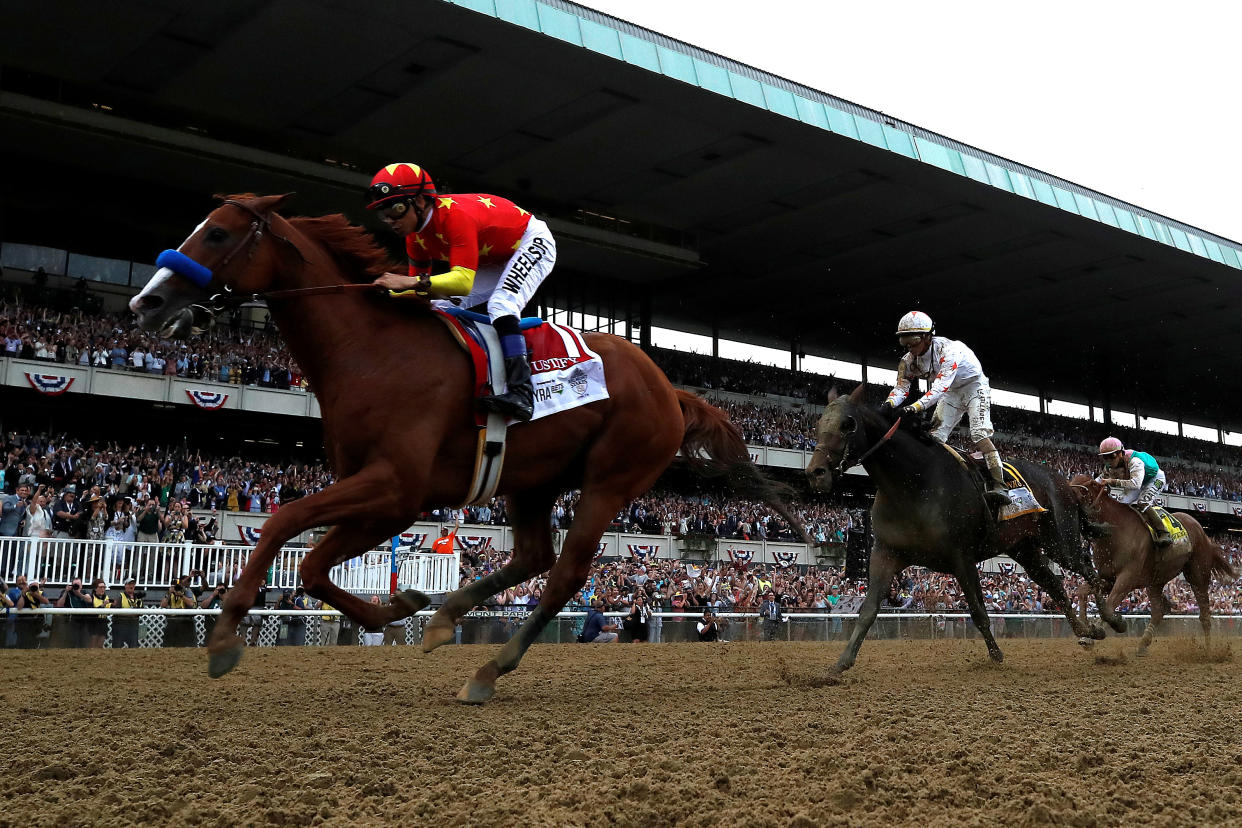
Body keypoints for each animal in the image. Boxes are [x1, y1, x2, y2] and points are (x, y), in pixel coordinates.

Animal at [133, 196, 794, 705]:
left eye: (218, 232)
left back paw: (488, 670)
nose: (147, 303)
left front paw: (224, 638)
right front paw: (401, 606)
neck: (371, 350)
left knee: (565, 573)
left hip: (611, 478)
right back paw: (448, 617)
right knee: (532, 556)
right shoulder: (380, 492)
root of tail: (668, 384)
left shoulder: (396, 488)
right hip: (533, 480)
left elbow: (283, 523)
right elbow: (314, 566)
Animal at [804, 384, 1117, 675]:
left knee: (1086, 569)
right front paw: (840, 664)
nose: (816, 473)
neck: (913, 483)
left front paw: (996, 655)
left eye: (848, 424)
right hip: (1024, 549)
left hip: (1060, 540)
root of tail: (1063, 481)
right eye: (819, 424)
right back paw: (1087, 631)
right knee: (1055, 584)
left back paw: (1109, 620)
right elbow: (868, 610)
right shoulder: (885, 553)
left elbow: (978, 611)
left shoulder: (961, 556)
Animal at [1068, 476, 1232, 655]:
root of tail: (1202, 531)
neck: (1115, 532)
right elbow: (1081, 592)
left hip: (1197, 574)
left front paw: (1104, 630)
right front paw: (1086, 632)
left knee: (1204, 613)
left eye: (1088, 485)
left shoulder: (1127, 578)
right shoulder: (1107, 578)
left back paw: (1209, 651)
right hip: (1156, 579)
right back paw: (1143, 643)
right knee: (1159, 611)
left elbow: (1108, 606)